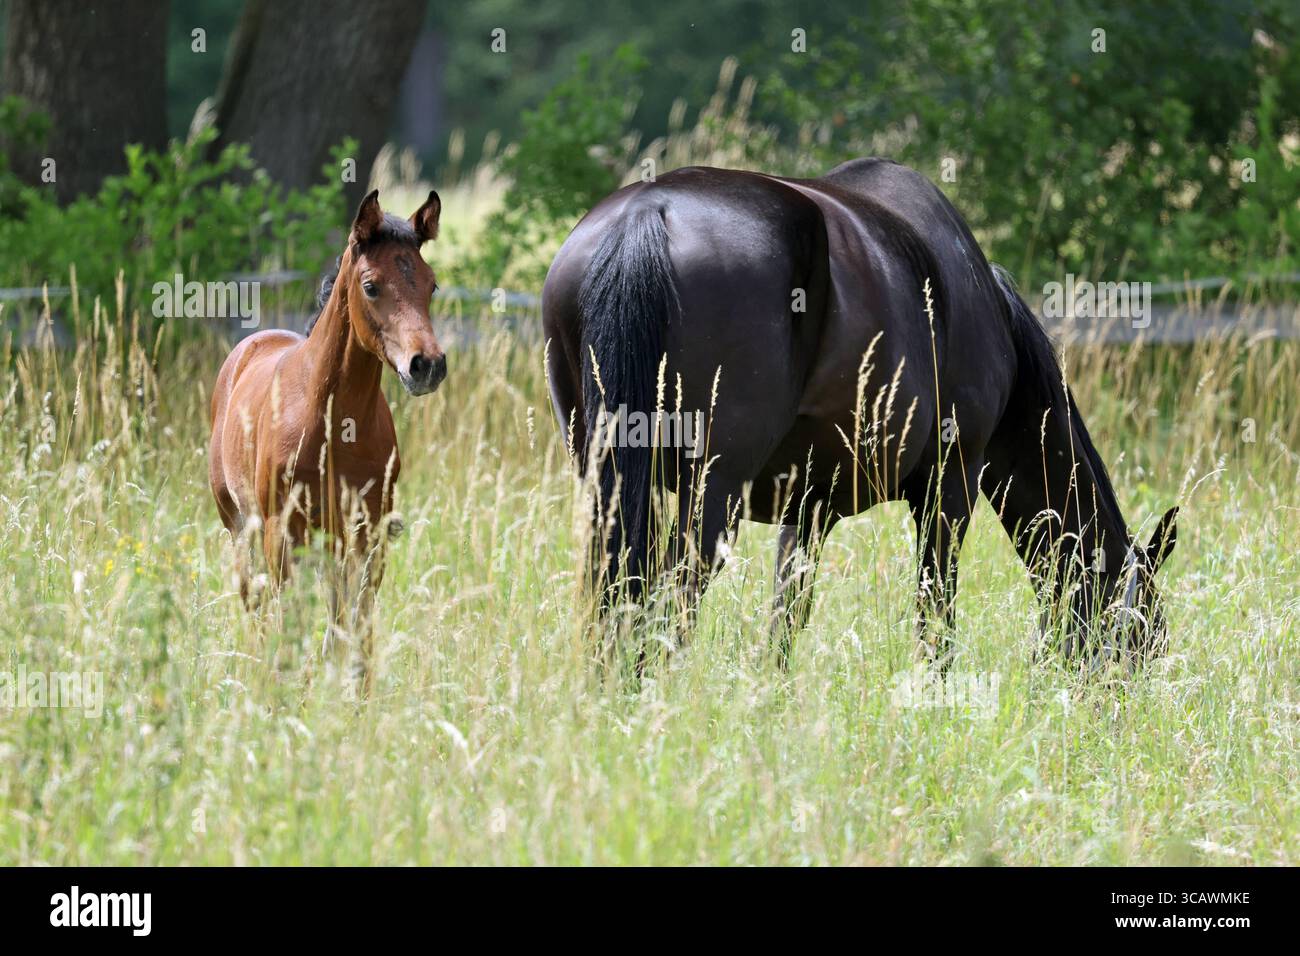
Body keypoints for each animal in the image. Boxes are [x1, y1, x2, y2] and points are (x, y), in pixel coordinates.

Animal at [208, 189, 445, 689]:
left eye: (431, 285)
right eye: (371, 285)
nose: (428, 365)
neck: (336, 425)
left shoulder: (367, 536)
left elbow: (356, 636)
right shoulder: (281, 534)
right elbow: (288, 631)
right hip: (240, 527)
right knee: (256, 610)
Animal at [542, 159, 1178, 669]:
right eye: (1141, 635)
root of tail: (647, 214)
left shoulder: (808, 507)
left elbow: (788, 614)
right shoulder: (951, 484)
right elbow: (935, 613)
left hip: (610, 477)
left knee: (618, 584)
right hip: (713, 489)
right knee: (670, 593)